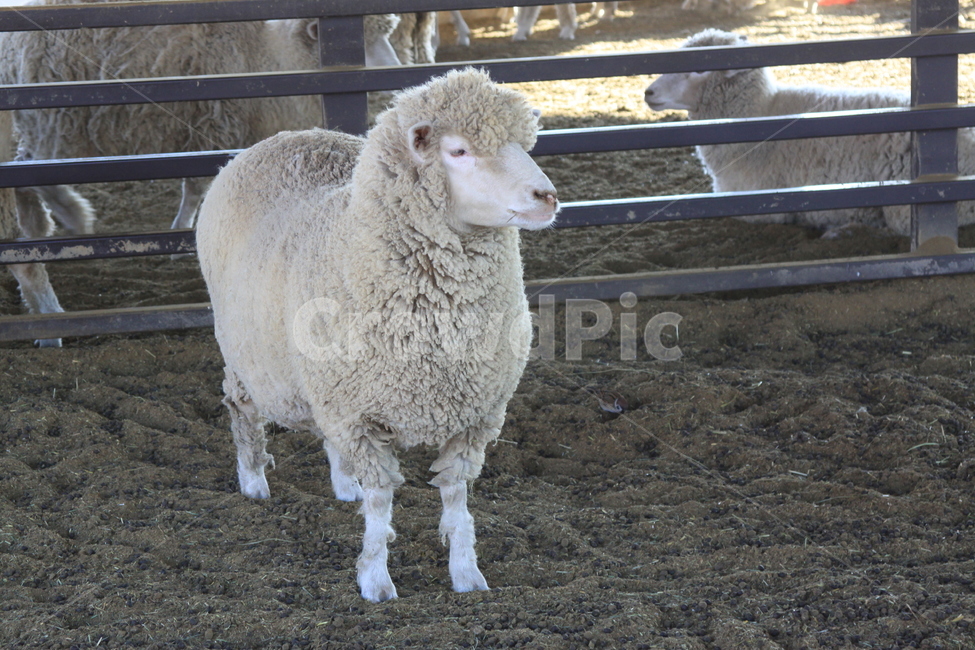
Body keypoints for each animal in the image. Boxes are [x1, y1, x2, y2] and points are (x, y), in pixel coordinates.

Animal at [1, 0, 402, 236]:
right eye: (364, 44)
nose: (397, 74)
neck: (271, 54)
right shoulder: (213, 127)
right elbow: (195, 188)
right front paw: (182, 226)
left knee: (26, 168)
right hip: (56, 122)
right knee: (39, 173)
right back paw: (75, 217)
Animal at [196, 68, 559, 602]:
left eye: (521, 143)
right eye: (458, 151)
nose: (546, 197)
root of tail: (289, 135)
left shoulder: (472, 415)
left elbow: (456, 499)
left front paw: (467, 574)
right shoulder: (359, 414)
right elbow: (381, 504)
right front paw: (376, 578)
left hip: (324, 381)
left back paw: (343, 484)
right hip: (244, 352)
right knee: (242, 410)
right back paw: (254, 482)